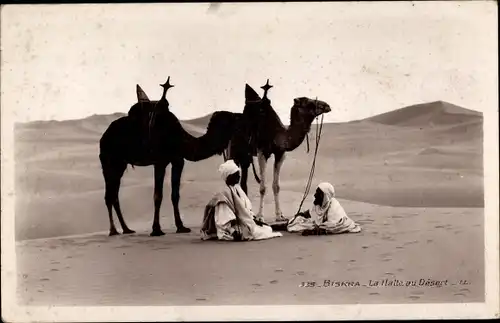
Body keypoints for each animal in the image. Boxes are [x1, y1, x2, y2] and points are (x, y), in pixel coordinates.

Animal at [99, 77, 238, 237]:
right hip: (109, 161)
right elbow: (157, 196)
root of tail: (104, 136)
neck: (180, 138)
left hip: (120, 164)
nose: (241, 116)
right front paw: (156, 229)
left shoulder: (178, 160)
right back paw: (113, 230)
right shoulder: (160, 162)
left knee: (114, 194)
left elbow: (175, 195)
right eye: (230, 118)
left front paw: (181, 227)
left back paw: (127, 229)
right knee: (109, 195)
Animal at [231, 81, 332, 223]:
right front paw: (260, 216)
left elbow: (276, 186)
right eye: (309, 103)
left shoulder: (280, 154)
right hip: (236, 153)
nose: (327, 106)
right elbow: (263, 187)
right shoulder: (262, 152)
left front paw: (279, 216)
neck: (278, 134)